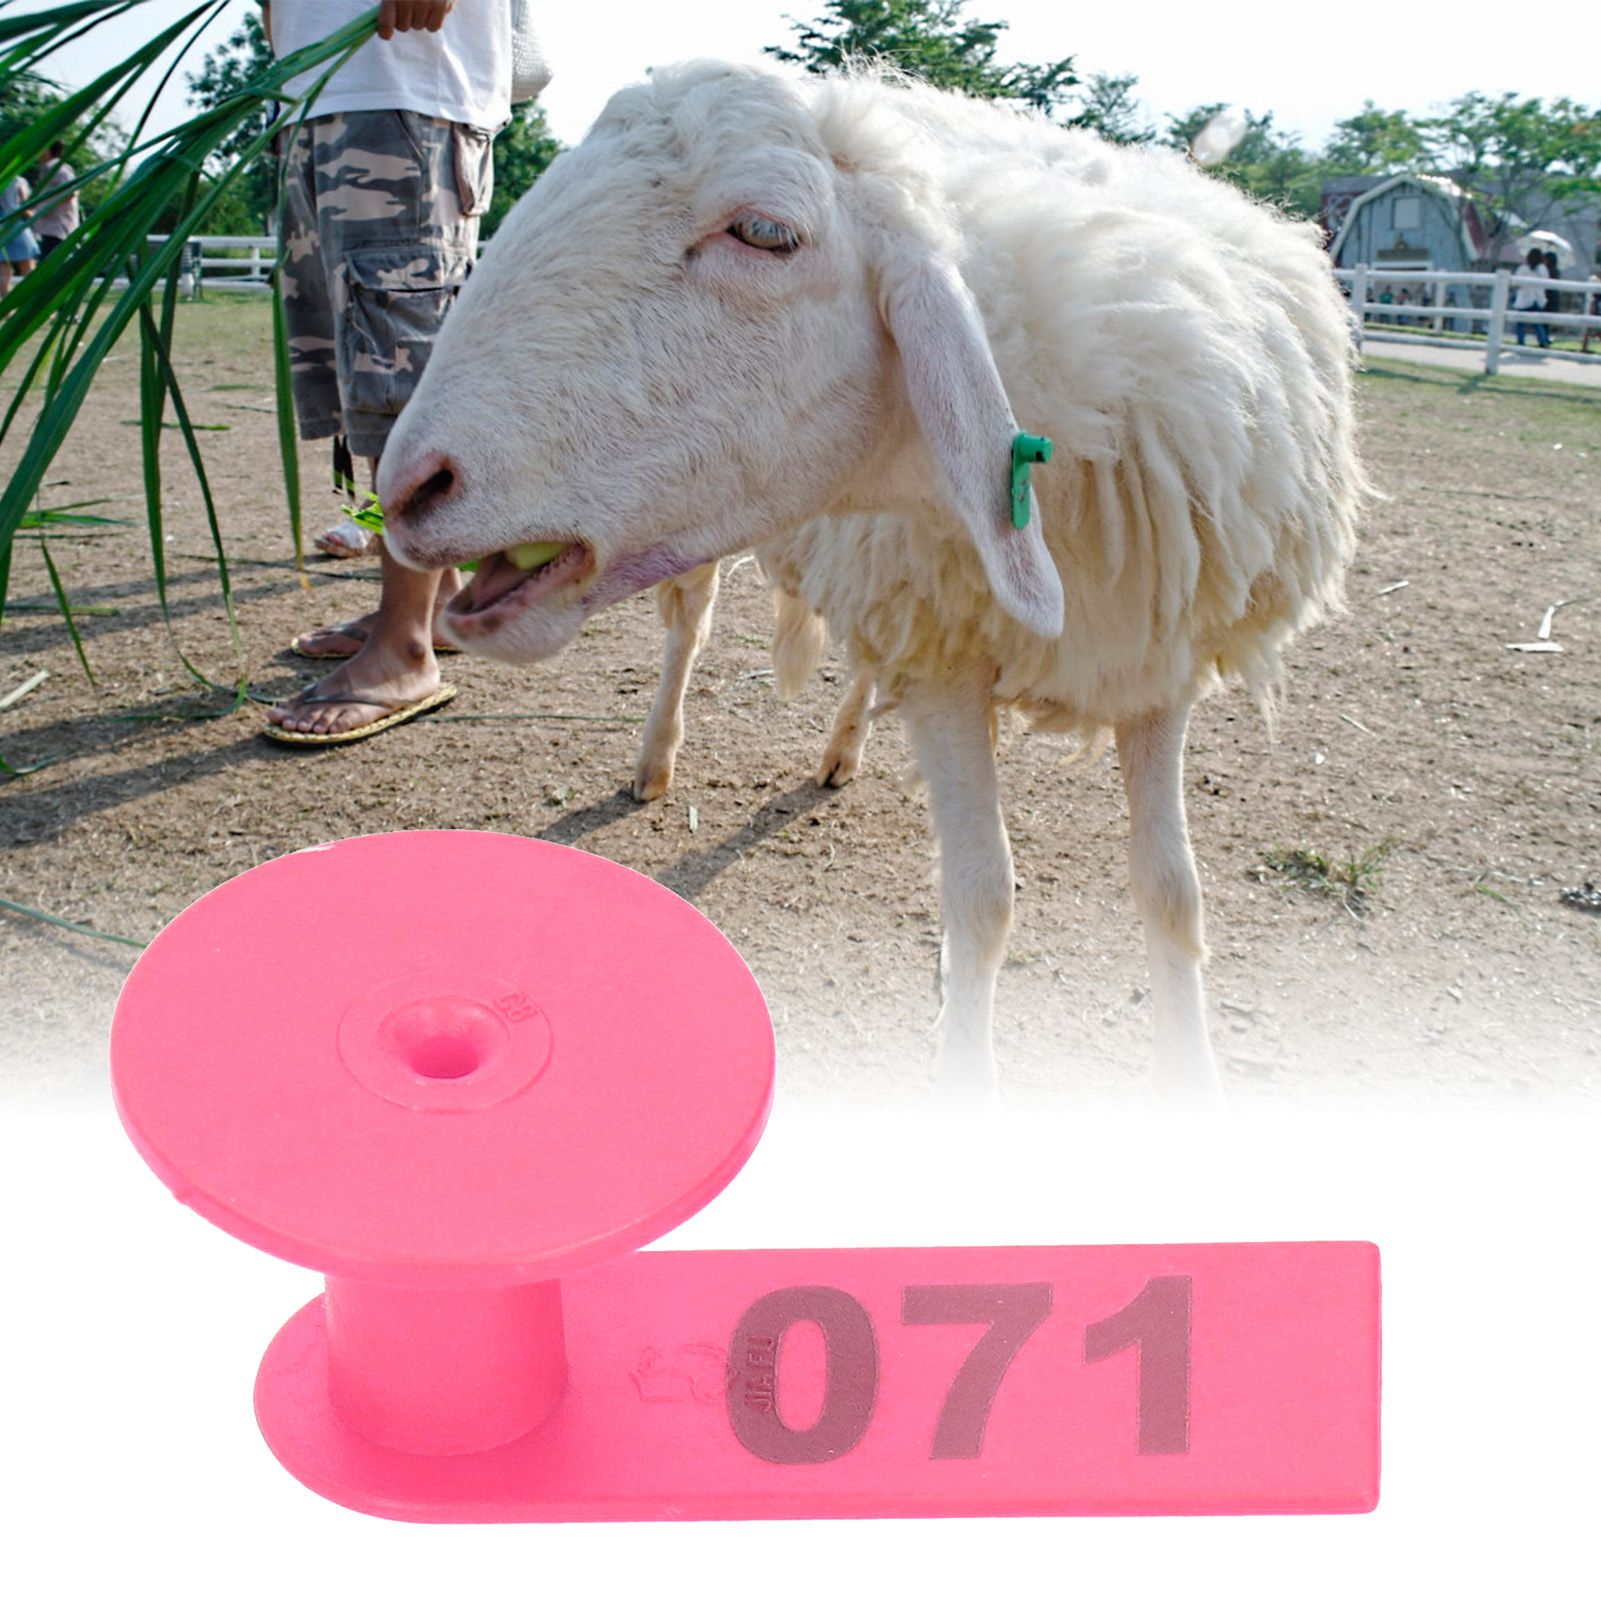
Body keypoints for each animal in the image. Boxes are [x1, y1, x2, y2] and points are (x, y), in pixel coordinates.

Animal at [376, 62, 1364, 1101]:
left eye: (764, 232)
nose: (409, 484)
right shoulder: (949, 671)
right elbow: (982, 903)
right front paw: (966, 1086)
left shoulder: (1153, 662)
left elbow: (1173, 893)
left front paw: (1194, 1077)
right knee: (688, 634)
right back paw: (654, 760)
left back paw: (839, 749)